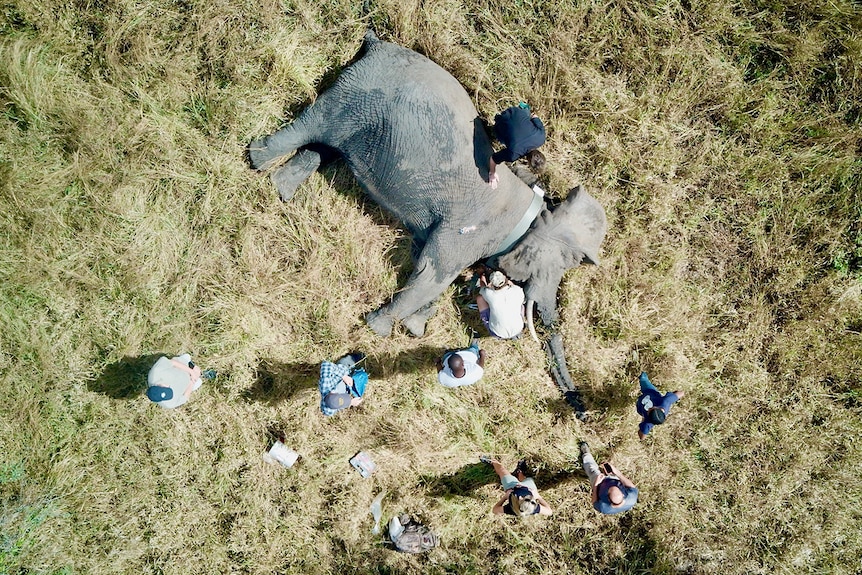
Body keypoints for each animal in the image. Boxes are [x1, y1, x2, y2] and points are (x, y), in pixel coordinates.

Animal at [250, 31, 608, 416]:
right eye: (566, 263)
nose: (581, 410)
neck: (533, 206)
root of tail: (377, 44)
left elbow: (425, 261)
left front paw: (414, 328)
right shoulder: (470, 229)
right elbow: (432, 272)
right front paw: (378, 330)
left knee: (326, 147)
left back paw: (282, 191)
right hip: (358, 92)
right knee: (315, 125)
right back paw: (256, 160)